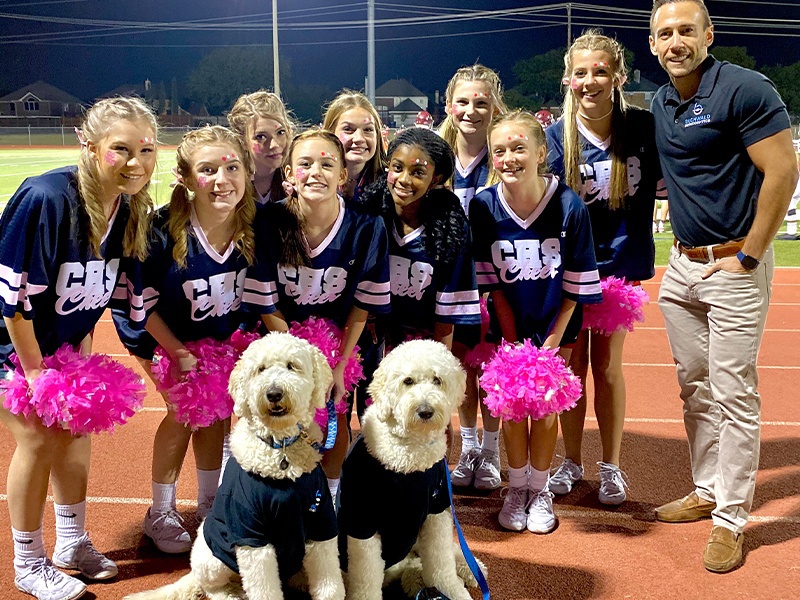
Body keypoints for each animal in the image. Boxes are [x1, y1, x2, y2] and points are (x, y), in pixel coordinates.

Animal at [126, 330, 346, 600]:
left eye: (291, 366)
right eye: (260, 369)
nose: (273, 393)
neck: (280, 449)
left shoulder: (320, 522)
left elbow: (329, 582)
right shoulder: (251, 535)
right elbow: (264, 589)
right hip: (212, 557)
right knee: (214, 588)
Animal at [336, 340, 482, 596]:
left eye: (437, 379)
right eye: (408, 381)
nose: (425, 411)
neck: (410, 457)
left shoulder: (437, 510)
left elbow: (441, 564)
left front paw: (452, 590)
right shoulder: (362, 521)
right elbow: (366, 577)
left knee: (450, 551)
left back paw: (473, 570)